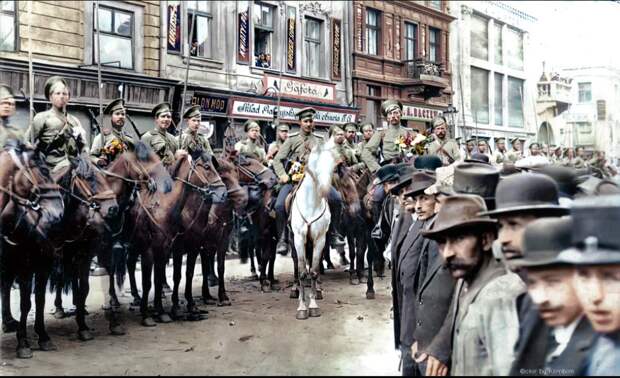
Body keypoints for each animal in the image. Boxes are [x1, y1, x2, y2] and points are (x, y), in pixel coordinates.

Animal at [0, 144, 65, 358]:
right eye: (44, 170)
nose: (59, 211)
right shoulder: (25, 269)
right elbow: (25, 303)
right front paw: (23, 343)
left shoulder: (41, 266)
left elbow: (39, 300)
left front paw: (42, 337)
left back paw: (8, 321)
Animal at [290, 139, 336, 318]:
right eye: (314, 163)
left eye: (332, 164)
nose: (324, 189)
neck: (311, 204)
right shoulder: (299, 238)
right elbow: (303, 271)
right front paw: (302, 308)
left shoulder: (319, 239)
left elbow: (314, 271)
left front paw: (313, 305)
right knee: (297, 264)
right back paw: (296, 290)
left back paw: (317, 291)